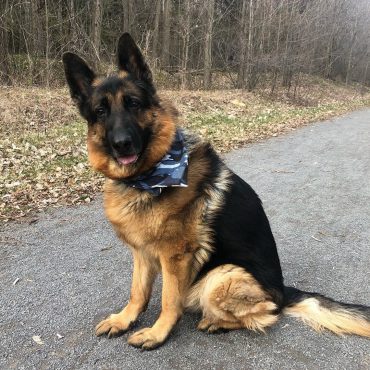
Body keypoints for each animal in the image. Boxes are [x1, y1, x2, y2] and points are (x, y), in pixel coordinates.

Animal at [62, 33, 368, 348]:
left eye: (133, 103)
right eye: (100, 111)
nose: (122, 144)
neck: (149, 176)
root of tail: (283, 290)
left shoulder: (175, 256)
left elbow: (168, 299)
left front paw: (158, 333)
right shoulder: (142, 252)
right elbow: (138, 292)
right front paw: (125, 319)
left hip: (220, 276)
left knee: (266, 313)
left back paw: (216, 322)